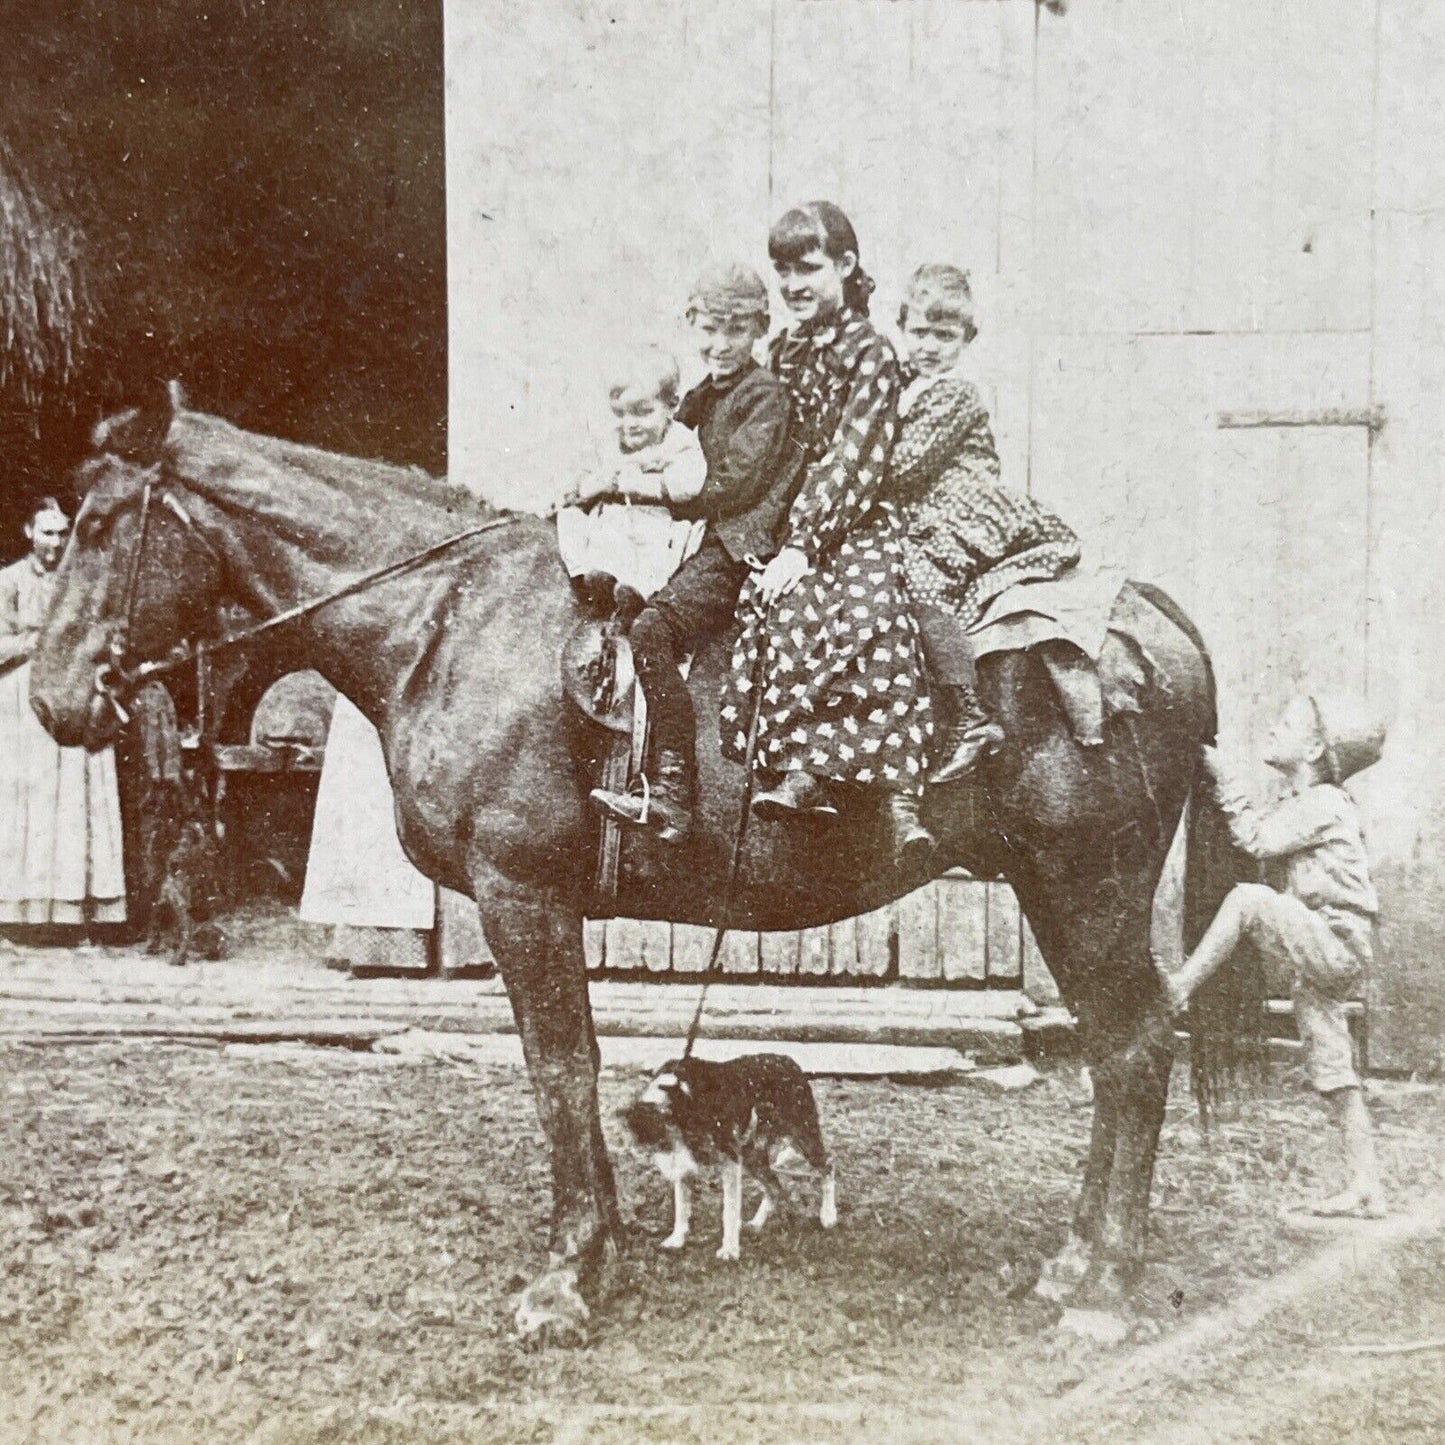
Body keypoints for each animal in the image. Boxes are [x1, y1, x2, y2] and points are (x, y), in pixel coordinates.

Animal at [621, 1051, 838, 1265]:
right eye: (657, 1143)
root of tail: (788, 1060)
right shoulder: (684, 1163)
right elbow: (681, 1206)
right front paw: (677, 1238)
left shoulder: (729, 1161)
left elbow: (730, 1211)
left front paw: (730, 1250)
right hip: (752, 1155)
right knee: (775, 1187)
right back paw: (757, 1223)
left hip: (804, 1136)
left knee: (828, 1167)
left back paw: (828, 1215)